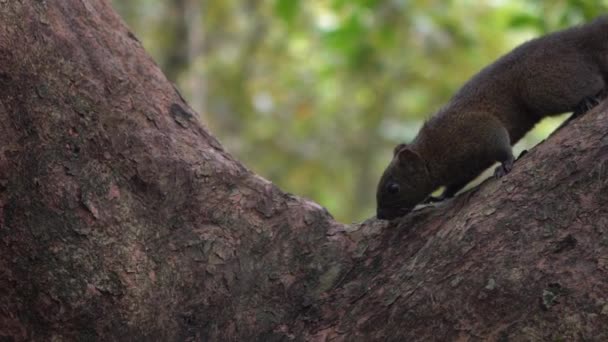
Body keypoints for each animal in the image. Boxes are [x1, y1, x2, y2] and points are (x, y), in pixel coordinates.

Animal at [376, 16, 608, 220]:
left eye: (393, 188)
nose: (380, 216)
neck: (433, 151)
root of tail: (577, 37)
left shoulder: (476, 128)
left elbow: (500, 145)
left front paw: (506, 164)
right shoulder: (466, 168)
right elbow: (456, 184)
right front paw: (440, 197)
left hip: (544, 85)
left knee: (593, 84)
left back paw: (585, 102)